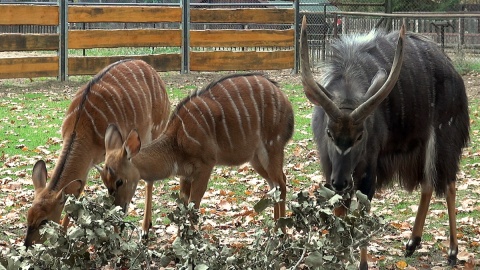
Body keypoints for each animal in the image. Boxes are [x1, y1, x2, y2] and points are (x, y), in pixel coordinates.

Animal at [25, 59, 171, 247]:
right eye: (28, 216)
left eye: (44, 220)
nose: (27, 244)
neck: (82, 127)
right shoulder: (90, 163)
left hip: (154, 131)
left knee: (149, 179)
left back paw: (145, 230)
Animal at [101, 72, 292, 228]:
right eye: (105, 182)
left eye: (119, 181)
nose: (118, 210)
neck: (176, 142)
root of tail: (285, 100)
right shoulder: (186, 174)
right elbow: (184, 206)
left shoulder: (205, 165)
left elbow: (194, 206)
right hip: (255, 158)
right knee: (274, 185)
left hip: (272, 147)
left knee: (281, 183)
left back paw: (281, 231)